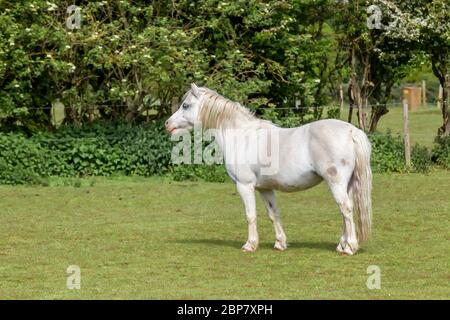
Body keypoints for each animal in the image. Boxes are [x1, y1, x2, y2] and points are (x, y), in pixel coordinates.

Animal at [166, 83, 372, 255]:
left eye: (185, 105)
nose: (167, 124)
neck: (241, 136)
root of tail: (351, 131)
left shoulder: (245, 186)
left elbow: (250, 215)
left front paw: (250, 245)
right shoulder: (265, 188)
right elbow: (273, 214)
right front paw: (280, 243)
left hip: (336, 183)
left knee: (346, 209)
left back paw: (350, 247)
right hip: (348, 185)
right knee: (346, 210)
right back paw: (341, 245)